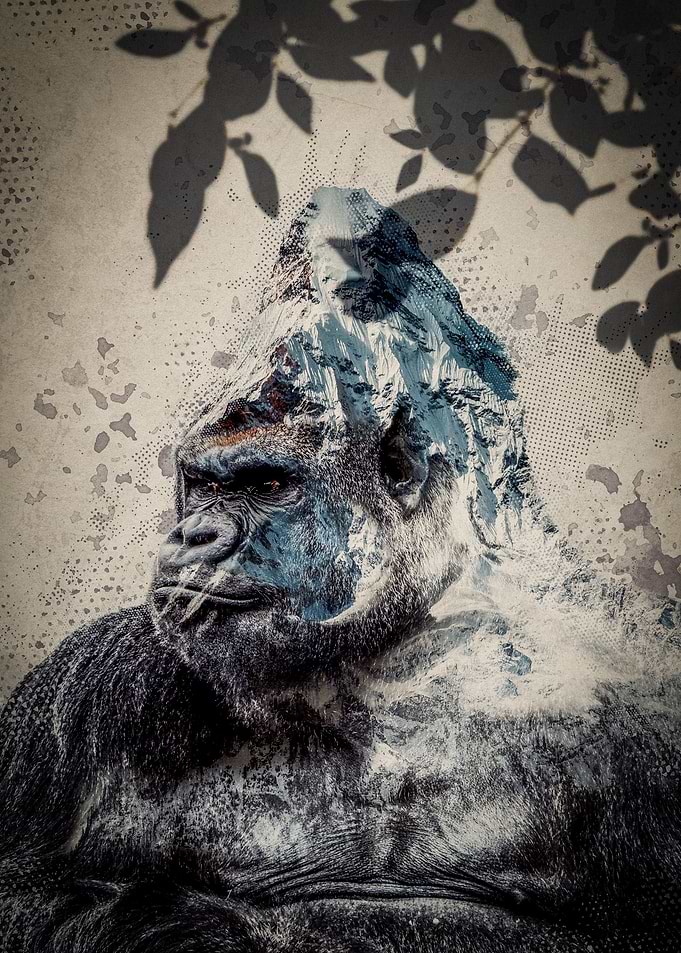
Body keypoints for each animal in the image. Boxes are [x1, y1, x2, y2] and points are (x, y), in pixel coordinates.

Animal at [1, 187, 680, 952]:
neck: (392, 661)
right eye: (201, 484)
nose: (194, 534)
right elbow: (26, 894)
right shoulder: (92, 681)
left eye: (267, 486)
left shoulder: (643, 712)